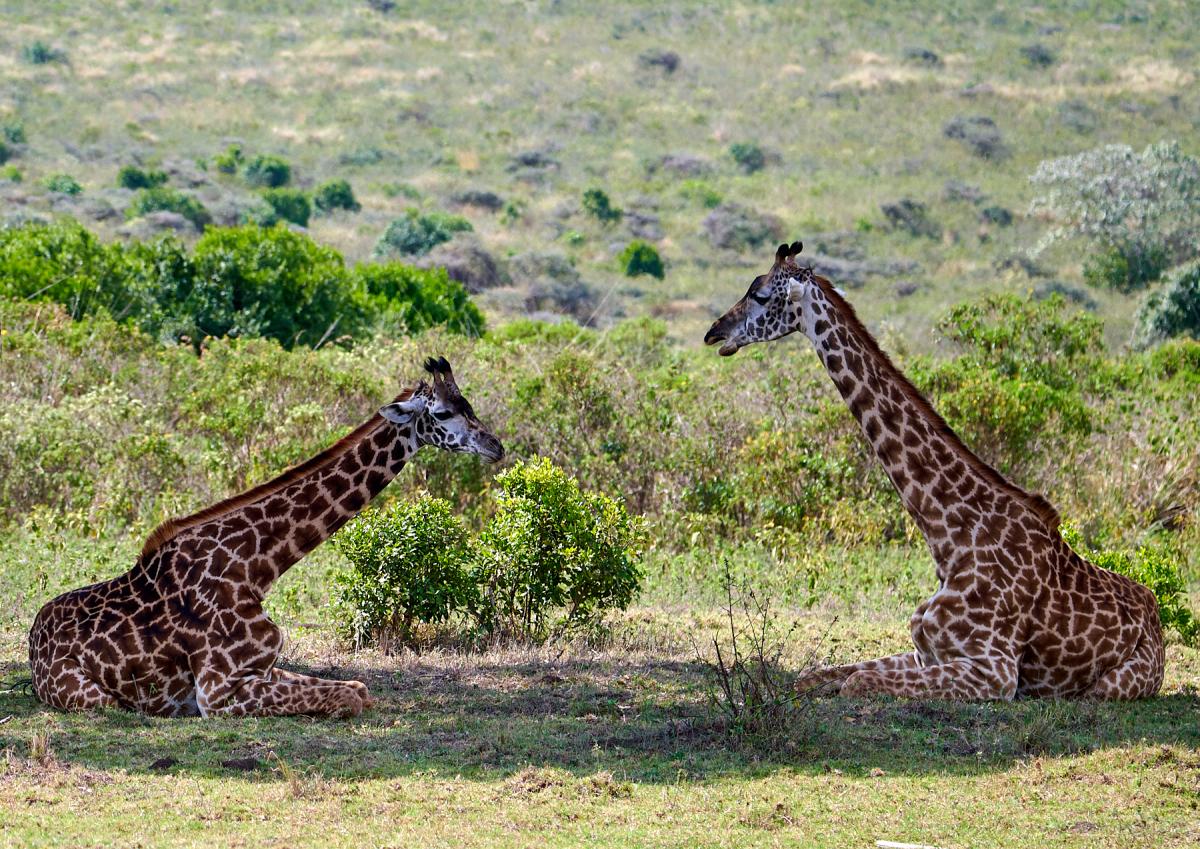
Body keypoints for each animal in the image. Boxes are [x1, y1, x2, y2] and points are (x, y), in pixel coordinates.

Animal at [28, 357, 503, 718]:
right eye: (442, 413)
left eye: (468, 403)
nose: (495, 446)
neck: (255, 567)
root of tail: (33, 639)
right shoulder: (218, 693)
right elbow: (349, 697)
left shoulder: (265, 667)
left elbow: (358, 686)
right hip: (93, 698)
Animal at [704, 242, 1164, 700]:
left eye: (761, 294)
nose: (715, 334)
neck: (950, 538)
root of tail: (1156, 614)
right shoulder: (924, 652)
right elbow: (813, 676)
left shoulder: (996, 671)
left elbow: (855, 682)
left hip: (1109, 686)